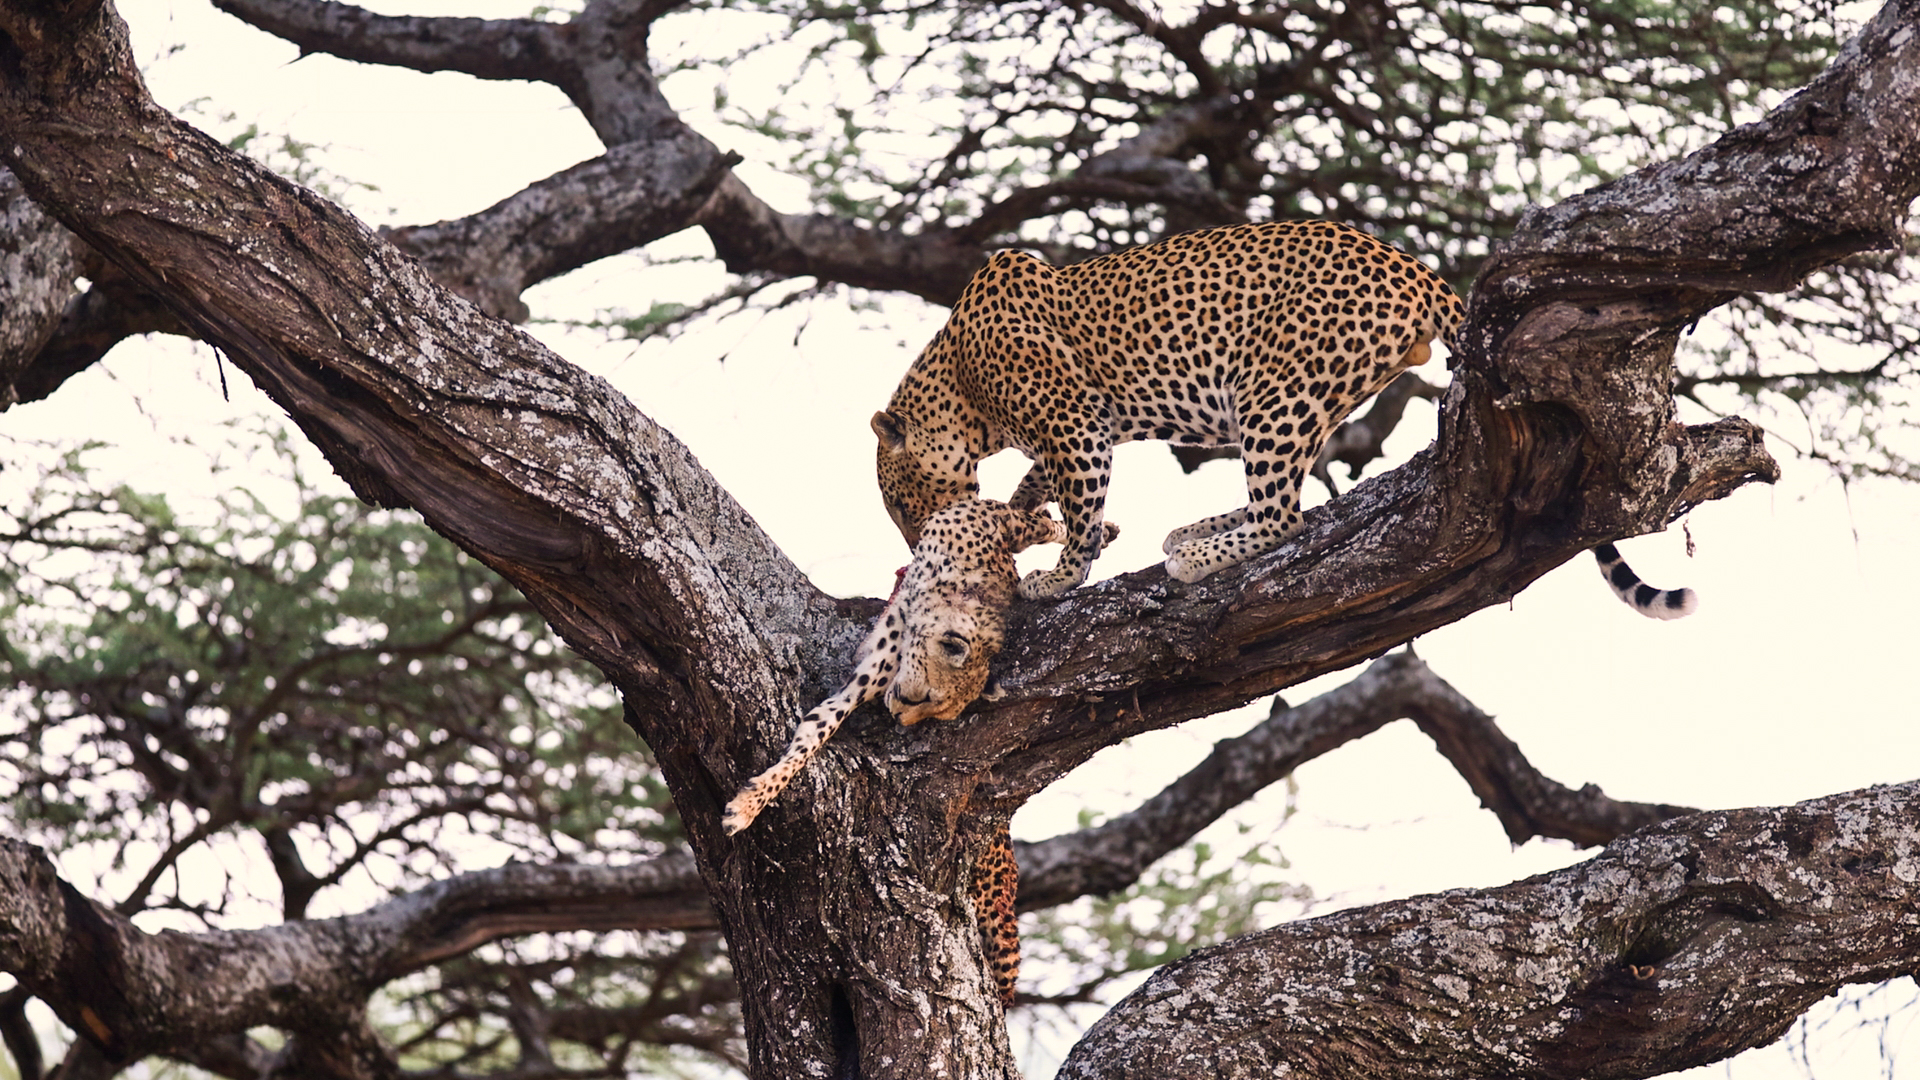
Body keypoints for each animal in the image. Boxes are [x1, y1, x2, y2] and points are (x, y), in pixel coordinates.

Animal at [718, 499, 1113, 1006]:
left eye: (934, 712)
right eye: (923, 699)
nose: (900, 718)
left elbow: (1039, 525)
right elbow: (813, 735)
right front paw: (749, 805)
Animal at [871, 215, 1697, 618]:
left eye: (904, 507)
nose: (914, 546)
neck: (958, 379)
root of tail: (1409, 263)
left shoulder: (1073, 424)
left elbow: (1080, 508)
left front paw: (1057, 575)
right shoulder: (1077, 430)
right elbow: (1045, 489)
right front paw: (1026, 519)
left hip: (1273, 387)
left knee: (1285, 517)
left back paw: (1197, 552)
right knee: (1285, 502)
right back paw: (1193, 532)